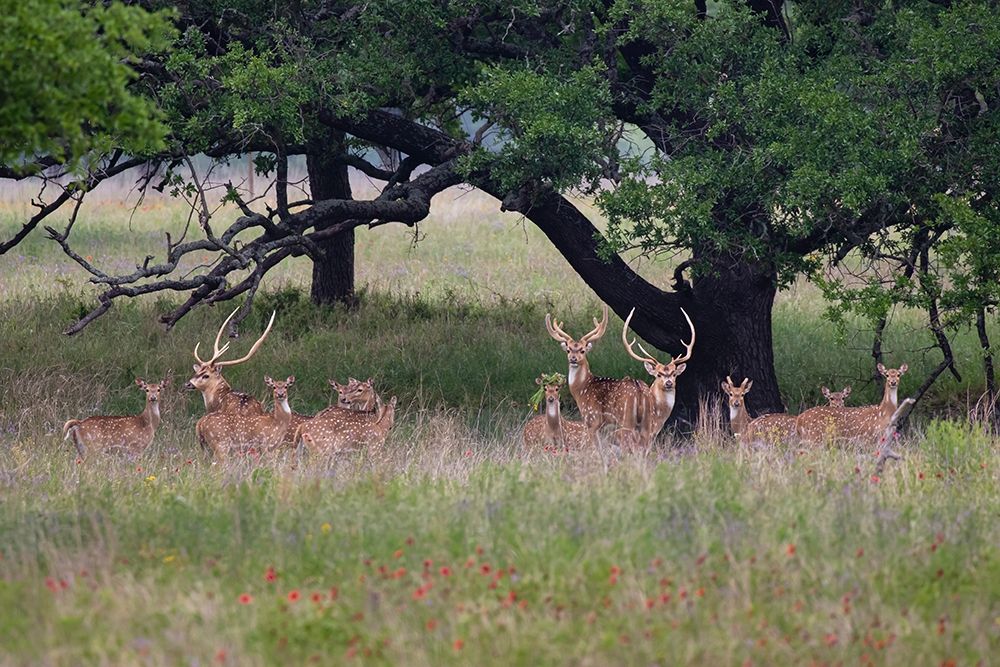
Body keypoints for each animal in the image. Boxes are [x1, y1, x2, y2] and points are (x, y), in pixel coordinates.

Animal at [546, 304, 649, 448]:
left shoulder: (592, 419)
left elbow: (594, 446)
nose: (573, 359)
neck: (581, 389)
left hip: (626, 419)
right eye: (568, 350)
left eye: (583, 350)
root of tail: (638, 389)